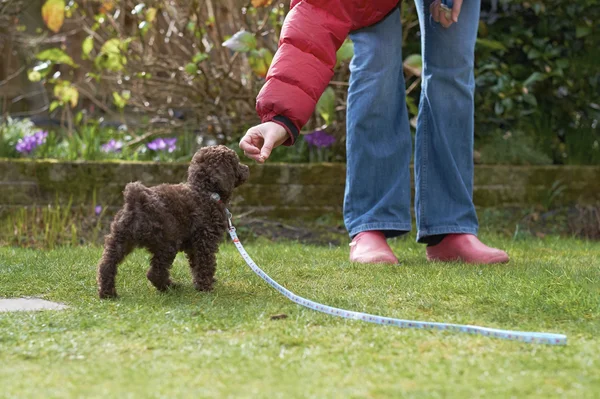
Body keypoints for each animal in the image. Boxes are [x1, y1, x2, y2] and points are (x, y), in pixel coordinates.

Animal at [96, 145, 248, 298]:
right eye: (236, 163)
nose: (247, 168)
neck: (205, 190)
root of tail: (137, 200)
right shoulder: (205, 240)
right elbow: (205, 264)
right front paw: (206, 288)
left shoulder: (193, 245)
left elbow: (196, 265)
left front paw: (201, 283)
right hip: (168, 241)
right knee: (155, 272)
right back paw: (170, 287)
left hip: (121, 238)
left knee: (107, 264)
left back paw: (107, 293)